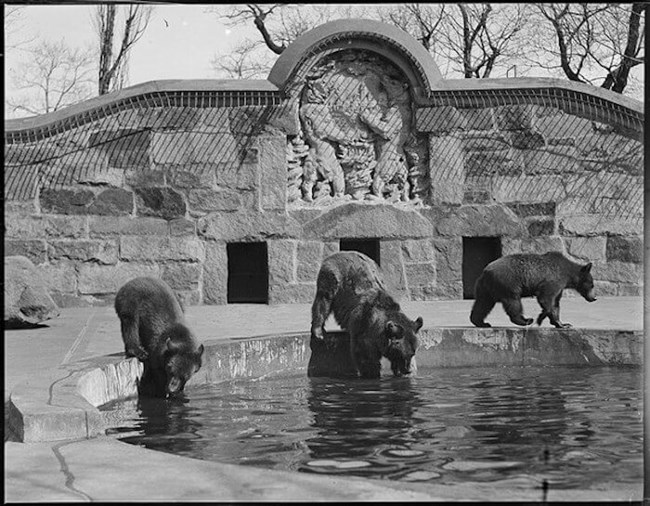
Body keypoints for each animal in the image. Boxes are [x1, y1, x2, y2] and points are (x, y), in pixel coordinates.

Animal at [468, 252, 596, 330]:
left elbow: (555, 303)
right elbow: (546, 298)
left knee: (483, 304)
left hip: (485, 289)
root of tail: (486, 271)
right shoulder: (553, 281)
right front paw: (541, 318)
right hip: (508, 283)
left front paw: (563, 324)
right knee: (513, 302)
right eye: (592, 285)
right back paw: (526, 320)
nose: (594, 298)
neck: (568, 275)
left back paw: (481, 322)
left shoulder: (559, 287)